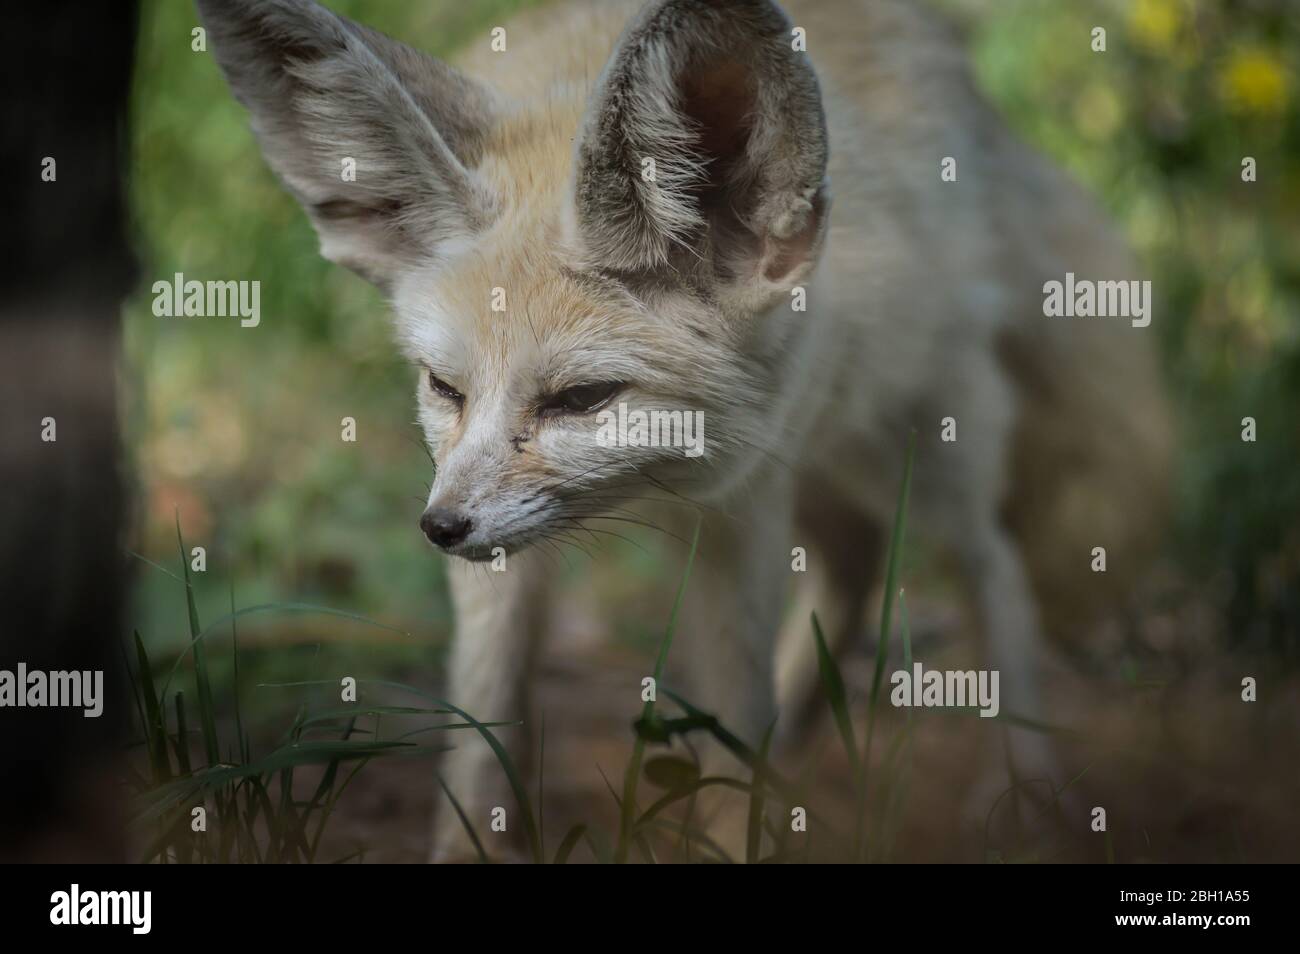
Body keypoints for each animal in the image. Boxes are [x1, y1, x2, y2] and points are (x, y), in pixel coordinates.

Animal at [197, 0, 1175, 857]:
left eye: (582, 399)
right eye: (445, 387)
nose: (439, 528)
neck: (658, 492)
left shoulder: (743, 503)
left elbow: (734, 708)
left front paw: (735, 833)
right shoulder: (518, 554)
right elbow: (483, 725)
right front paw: (470, 846)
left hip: (914, 451)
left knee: (996, 574)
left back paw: (1018, 787)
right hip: (834, 472)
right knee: (857, 564)